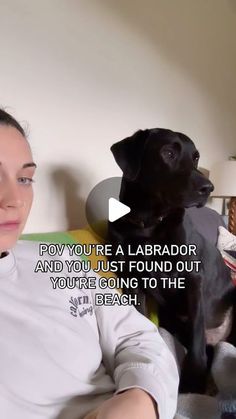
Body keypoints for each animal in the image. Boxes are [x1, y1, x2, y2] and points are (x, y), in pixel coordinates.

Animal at [108, 128, 235, 394]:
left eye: (196, 157)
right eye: (168, 153)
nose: (208, 188)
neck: (147, 226)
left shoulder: (193, 279)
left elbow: (197, 332)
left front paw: (193, 378)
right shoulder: (133, 280)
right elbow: (141, 318)